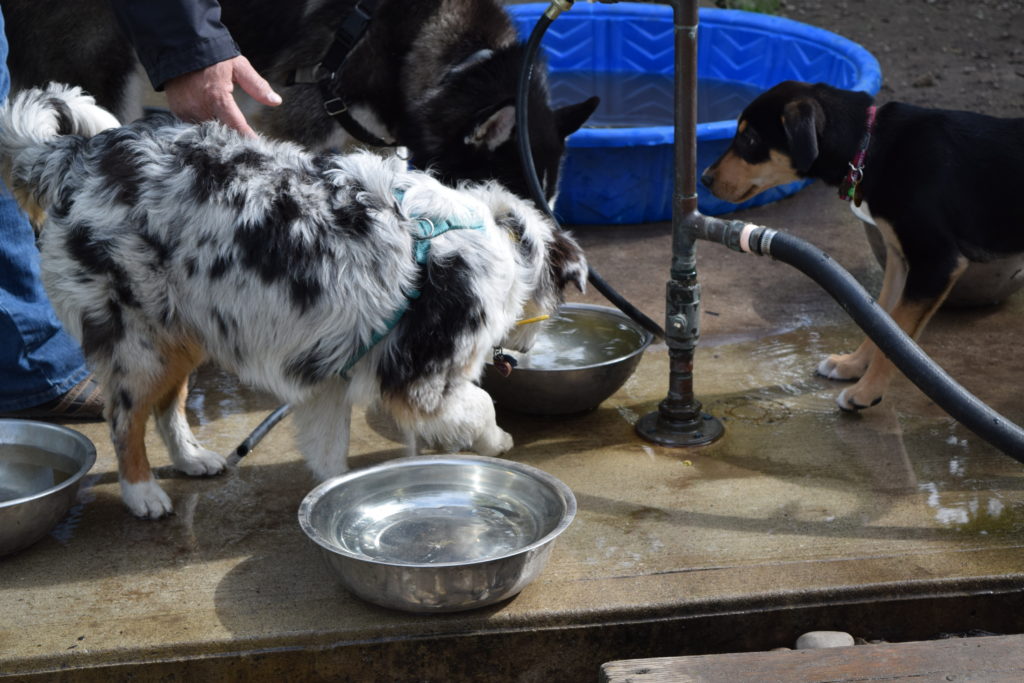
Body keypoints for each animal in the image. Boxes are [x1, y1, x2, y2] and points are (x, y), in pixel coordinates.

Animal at [704, 80, 1024, 411]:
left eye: (750, 138)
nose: (704, 179)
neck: (872, 146)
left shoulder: (937, 262)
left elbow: (897, 336)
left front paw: (866, 392)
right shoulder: (899, 260)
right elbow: (883, 321)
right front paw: (851, 365)